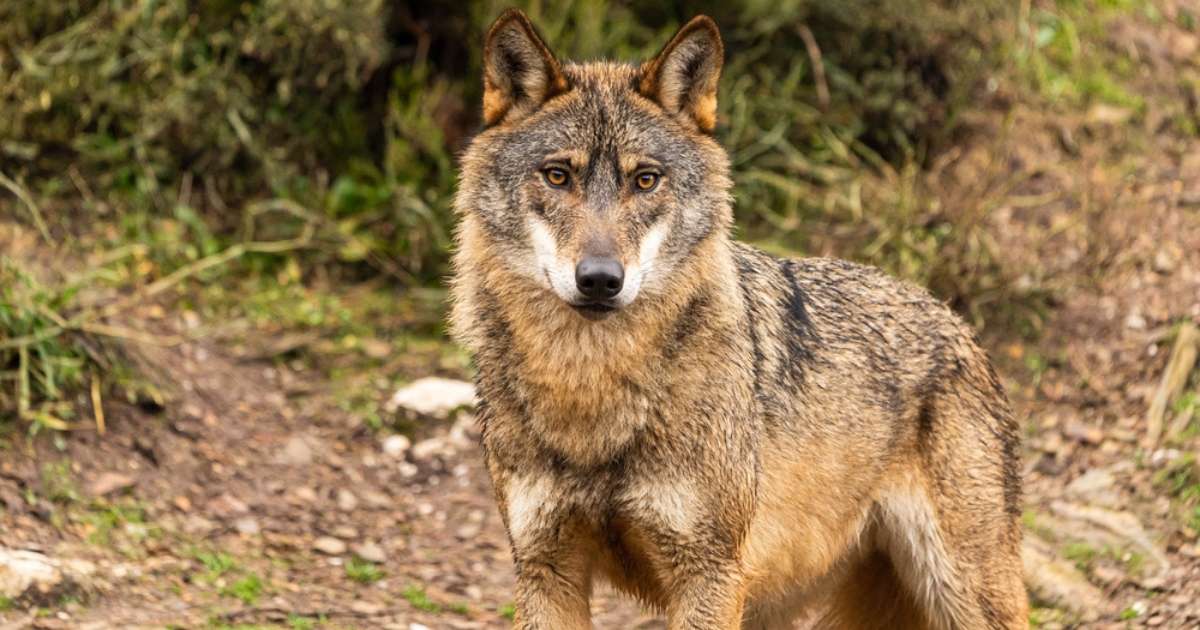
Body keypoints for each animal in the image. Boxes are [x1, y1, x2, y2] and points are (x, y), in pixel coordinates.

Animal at [450, 9, 1027, 629]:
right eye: (558, 175)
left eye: (645, 179)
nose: (601, 279)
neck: (591, 396)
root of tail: (958, 323)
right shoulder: (545, 568)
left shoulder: (708, 572)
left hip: (960, 591)